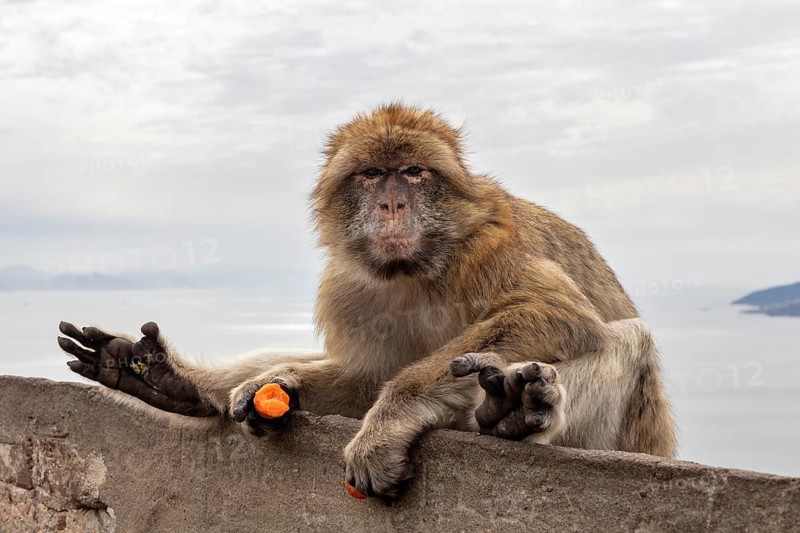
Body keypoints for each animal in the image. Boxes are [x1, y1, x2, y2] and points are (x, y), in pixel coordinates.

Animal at [58, 103, 676, 501]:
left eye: (414, 173)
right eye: (373, 174)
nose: (392, 206)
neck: (415, 269)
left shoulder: (489, 249)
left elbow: (557, 312)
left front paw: (390, 420)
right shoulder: (349, 288)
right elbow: (363, 377)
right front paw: (275, 386)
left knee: (627, 337)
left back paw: (516, 411)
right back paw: (171, 379)